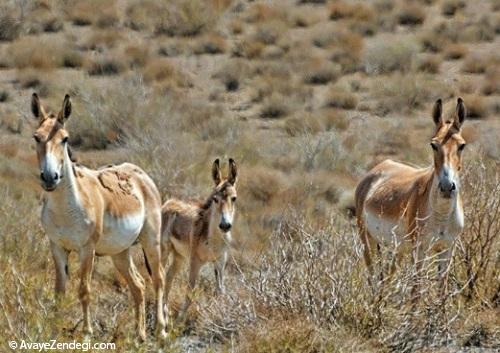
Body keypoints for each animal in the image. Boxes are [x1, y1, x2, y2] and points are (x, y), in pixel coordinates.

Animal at [32, 93, 167, 338]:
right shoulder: (57, 247)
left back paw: (160, 330)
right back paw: (139, 335)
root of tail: (141, 175)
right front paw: (54, 331)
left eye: (65, 139)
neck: (66, 209)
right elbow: (59, 292)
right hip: (120, 251)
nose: (49, 178)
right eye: (36, 137)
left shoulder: (87, 249)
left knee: (158, 278)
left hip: (151, 240)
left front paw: (87, 332)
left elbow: (84, 289)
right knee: (138, 285)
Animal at [161, 158, 237, 320]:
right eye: (215, 199)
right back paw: (162, 316)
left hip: (179, 256)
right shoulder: (195, 261)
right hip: (164, 252)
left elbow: (221, 290)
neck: (213, 241)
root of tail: (168, 202)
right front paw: (180, 320)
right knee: (159, 277)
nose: (225, 225)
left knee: (169, 277)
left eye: (234, 198)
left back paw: (165, 311)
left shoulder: (220, 262)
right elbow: (190, 291)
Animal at [356, 98, 464, 286]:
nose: (446, 187)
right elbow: (416, 289)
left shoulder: (447, 249)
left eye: (462, 146)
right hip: (367, 240)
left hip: (397, 248)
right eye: (433, 145)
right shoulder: (419, 249)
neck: (442, 215)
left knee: (388, 278)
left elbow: (442, 289)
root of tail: (376, 170)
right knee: (373, 278)